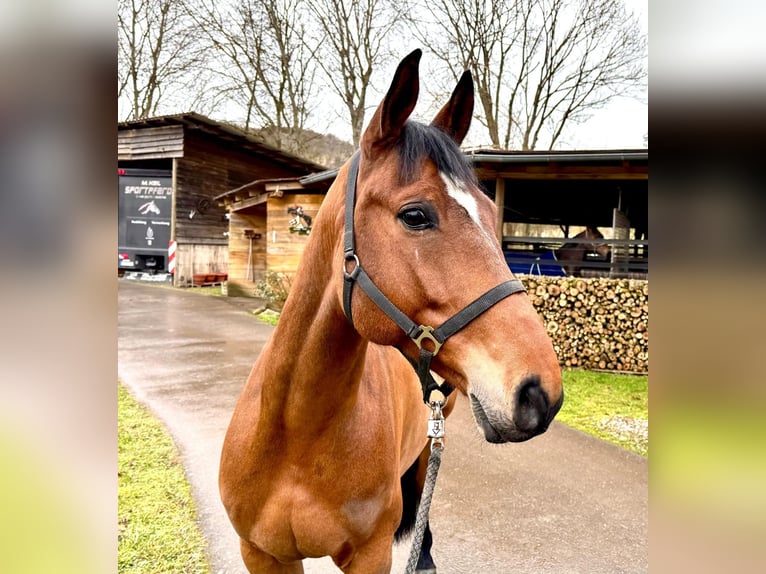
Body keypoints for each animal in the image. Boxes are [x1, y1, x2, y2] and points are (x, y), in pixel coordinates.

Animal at [218, 50, 564, 574]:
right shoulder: (262, 555)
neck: (295, 437)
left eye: (490, 211)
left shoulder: (370, 556)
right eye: (415, 215)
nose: (540, 393)